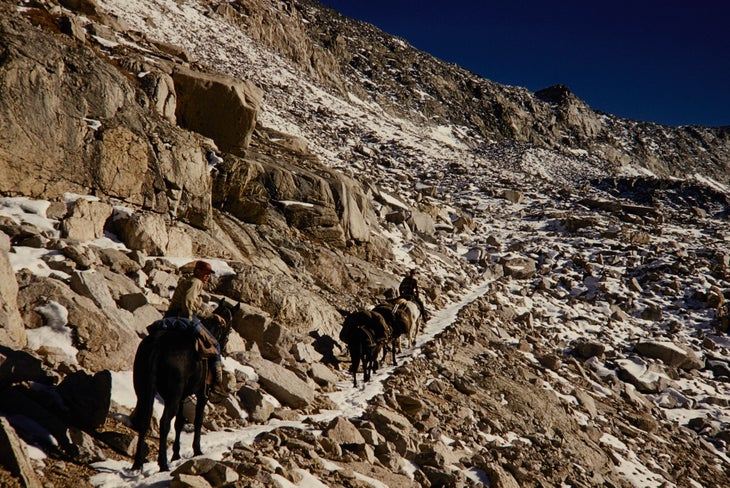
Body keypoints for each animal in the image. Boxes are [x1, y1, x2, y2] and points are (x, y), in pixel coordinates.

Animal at [128, 300, 236, 470]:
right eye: (230, 329)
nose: (224, 349)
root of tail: (157, 346)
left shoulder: (183, 396)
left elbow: (179, 423)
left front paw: (176, 454)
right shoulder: (201, 394)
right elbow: (197, 420)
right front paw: (197, 450)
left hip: (143, 389)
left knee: (144, 419)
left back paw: (138, 463)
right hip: (173, 396)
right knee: (164, 423)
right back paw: (163, 464)